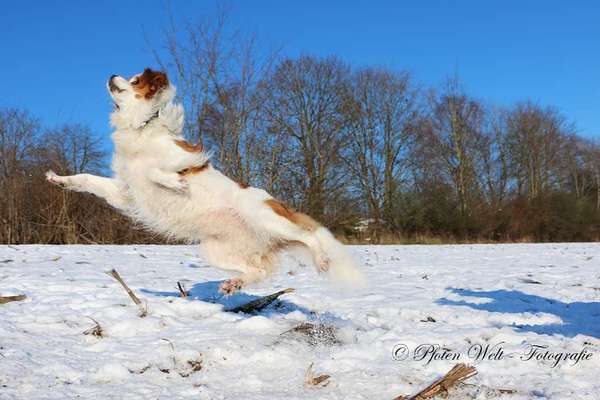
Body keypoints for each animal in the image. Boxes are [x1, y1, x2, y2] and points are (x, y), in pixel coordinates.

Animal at [45, 68, 360, 294]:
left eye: (134, 80)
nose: (111, 75)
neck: (141, 129)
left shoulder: (187, 158)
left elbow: (155, 170)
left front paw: (176, 183)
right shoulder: (126, 191)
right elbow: (88, 179)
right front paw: (59, 180)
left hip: (263, 216)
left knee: (308, 236)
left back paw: (320, 259)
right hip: (213, 250)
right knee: (259, 271)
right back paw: (234, 284)